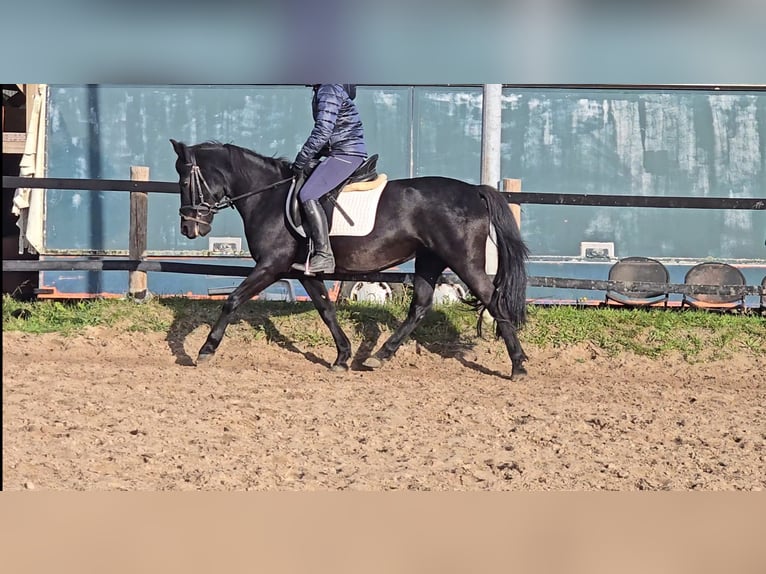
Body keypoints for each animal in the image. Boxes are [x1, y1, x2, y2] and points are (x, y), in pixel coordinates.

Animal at [171, 141, 532, 378]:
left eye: (185, 181)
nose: (189, 227)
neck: (268, 196)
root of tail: (473, 190)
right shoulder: (304, 272)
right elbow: (326, 310)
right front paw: (342, 356)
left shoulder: (271, 266)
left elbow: (232, 300)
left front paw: (205, 350)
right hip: (430, 259)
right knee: (420, 306)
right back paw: (378, 356)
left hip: (464, 261)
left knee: (492, 300)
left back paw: (518, 365)